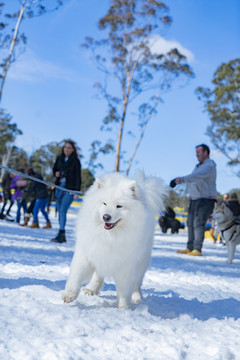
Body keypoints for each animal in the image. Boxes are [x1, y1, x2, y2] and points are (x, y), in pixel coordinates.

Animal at [62, 172, 167, 310]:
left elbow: (123, 289)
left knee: (137, 283)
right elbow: (76, 276)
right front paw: (69, 296)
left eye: (119, 206)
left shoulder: (126, 265)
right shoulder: (87, 253)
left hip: (142, 261)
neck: (110, 236)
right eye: (104, 203)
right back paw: (91, 289)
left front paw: (123, 307)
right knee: (98, 275)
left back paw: (137, 297)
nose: (106, 217)